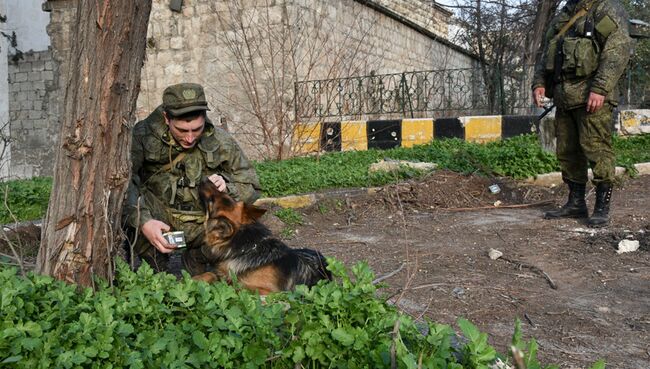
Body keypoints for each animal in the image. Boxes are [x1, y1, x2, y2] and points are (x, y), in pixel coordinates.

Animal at [191, 177, 332, 294]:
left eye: (214, 199)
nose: (205, 178)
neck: (247, 249)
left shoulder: (268, 292)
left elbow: (235, 286)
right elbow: (211, 274)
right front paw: (196, 278)